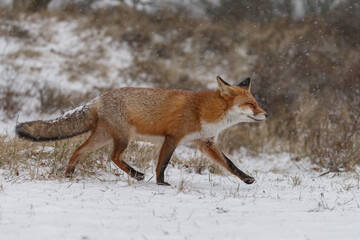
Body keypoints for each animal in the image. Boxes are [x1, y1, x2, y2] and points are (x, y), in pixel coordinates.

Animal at [16, 77, 268, 186]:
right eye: (251, 104)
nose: (266, 115)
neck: (204, 110)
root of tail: (99, 98)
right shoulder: (173, 137)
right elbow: (162, 163)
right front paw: (161, 183)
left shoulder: (205, 142)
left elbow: (230, 164)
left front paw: (246, 179)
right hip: (124, 137)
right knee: (114, 157)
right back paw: (135, 174)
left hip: (103, 137)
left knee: (78, 151)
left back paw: (69, 174)